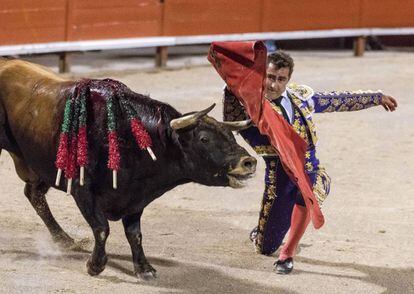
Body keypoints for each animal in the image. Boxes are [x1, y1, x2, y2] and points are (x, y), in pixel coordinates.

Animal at [0, 58, 258, 280]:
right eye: (204, 138)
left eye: (230, 135)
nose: (249, 162)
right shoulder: (83, 191)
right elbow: (102, 228)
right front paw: (95, 265)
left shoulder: (136, 196)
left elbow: (135, 234)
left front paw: (144, 268)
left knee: (34, 195)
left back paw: (64, 239)